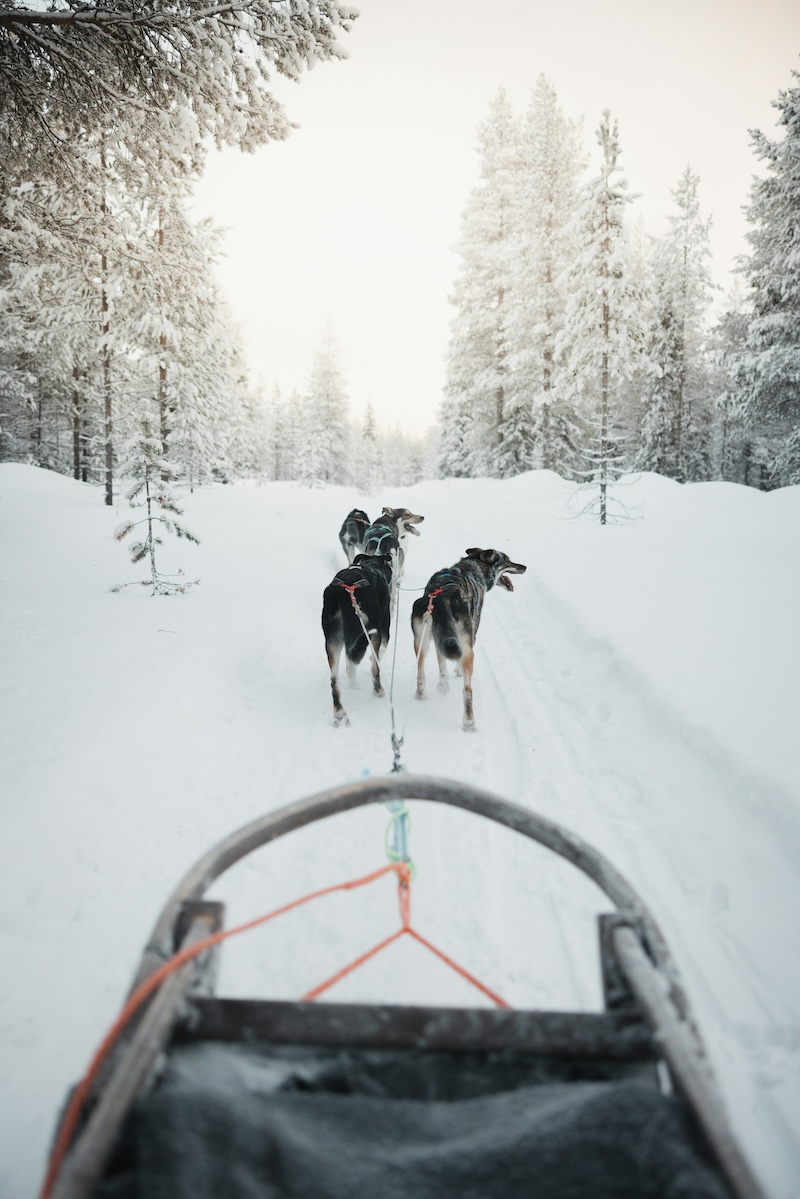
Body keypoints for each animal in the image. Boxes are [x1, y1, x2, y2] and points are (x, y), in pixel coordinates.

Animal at [321, 549, 393, 719]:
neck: (373, 566)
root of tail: (345, 591)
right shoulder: (384, 626)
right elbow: (379, 654)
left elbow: (350, 663)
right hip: (372, 628)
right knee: (374, 668)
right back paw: (378, 690)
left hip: (334, 639)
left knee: (335, 678)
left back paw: (339, 710)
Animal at [410, 546, 527, 728]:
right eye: (508, 561)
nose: (524, 567)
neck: (472, 568)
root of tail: (443, 598)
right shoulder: (471, 636)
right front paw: (456, 671)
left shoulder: (440, 638)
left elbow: (442, 662)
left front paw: (443, 685)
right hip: (467, 648)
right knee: (467, 689)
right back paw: (469, 721)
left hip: (420, 641)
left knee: (421, 671)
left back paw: (425, 692)